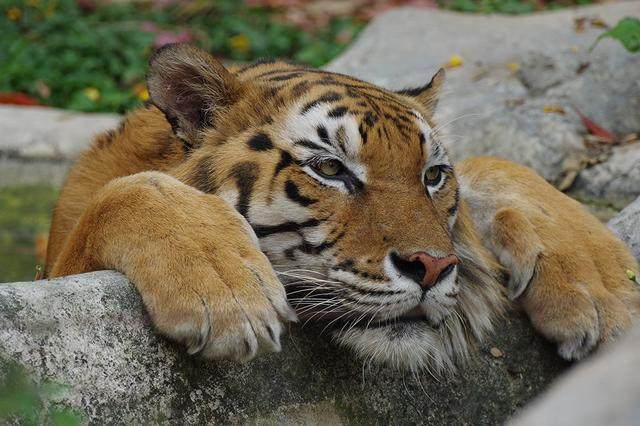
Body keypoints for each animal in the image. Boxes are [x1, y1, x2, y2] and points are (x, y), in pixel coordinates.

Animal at [46, 43, 640, 372]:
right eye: (331, 169)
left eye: (432, 176)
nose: (433, 267)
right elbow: (128, 191)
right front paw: (229, 295)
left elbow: (495, 163)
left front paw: (607, 293)